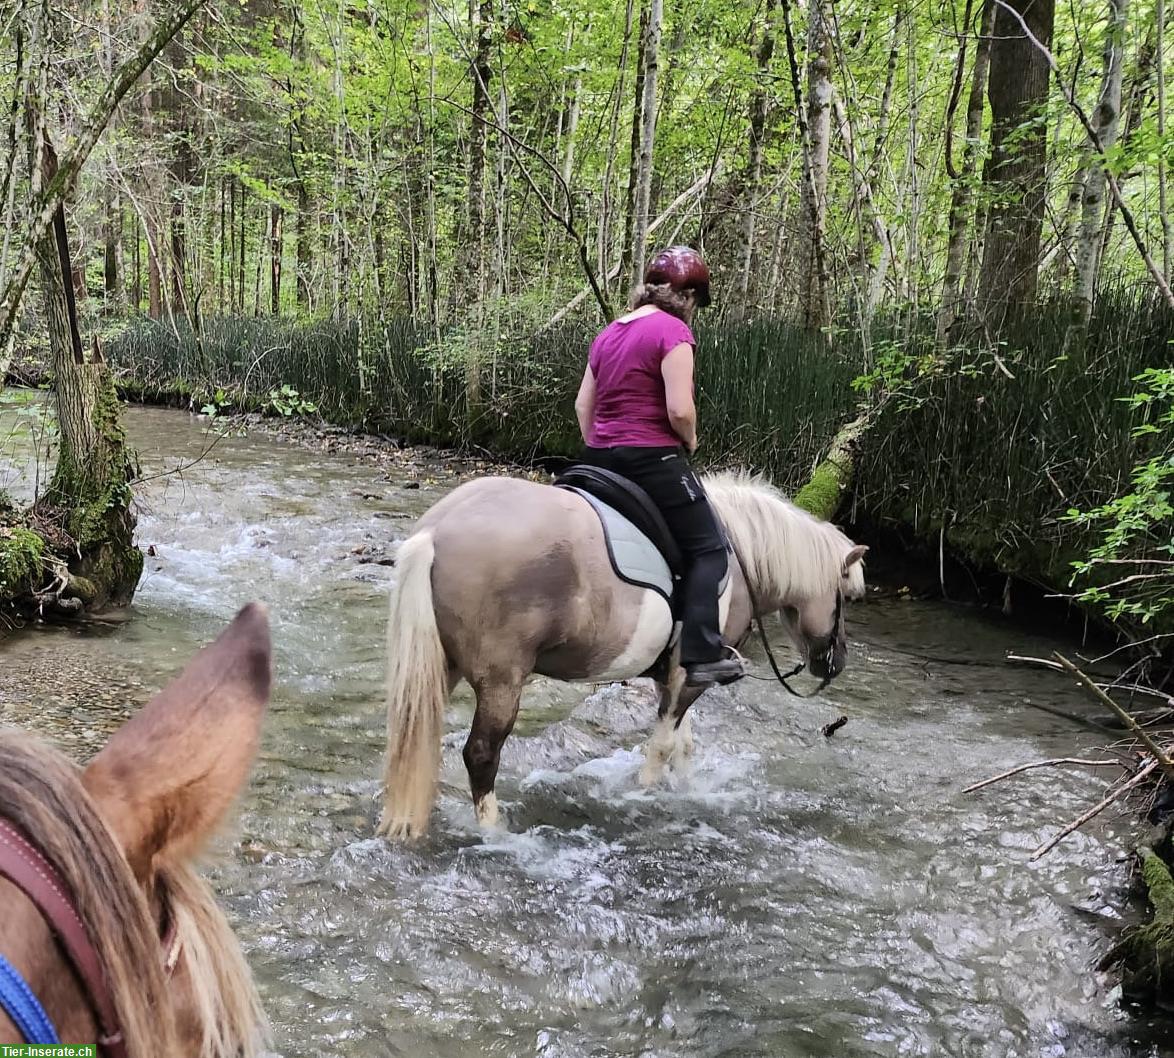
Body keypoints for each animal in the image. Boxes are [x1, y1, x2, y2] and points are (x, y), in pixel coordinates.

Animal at [380, 474, 868, 836]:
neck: (740, 556)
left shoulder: (674, 676)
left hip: (442, 667)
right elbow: (664, 744)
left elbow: (684, 744)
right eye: (849, 597)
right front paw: (648, 794)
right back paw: (494, 832)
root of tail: (437, 530)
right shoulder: (689, 678)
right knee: (481, 754)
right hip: (502, 680)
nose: (835, 664)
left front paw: (687, 791)